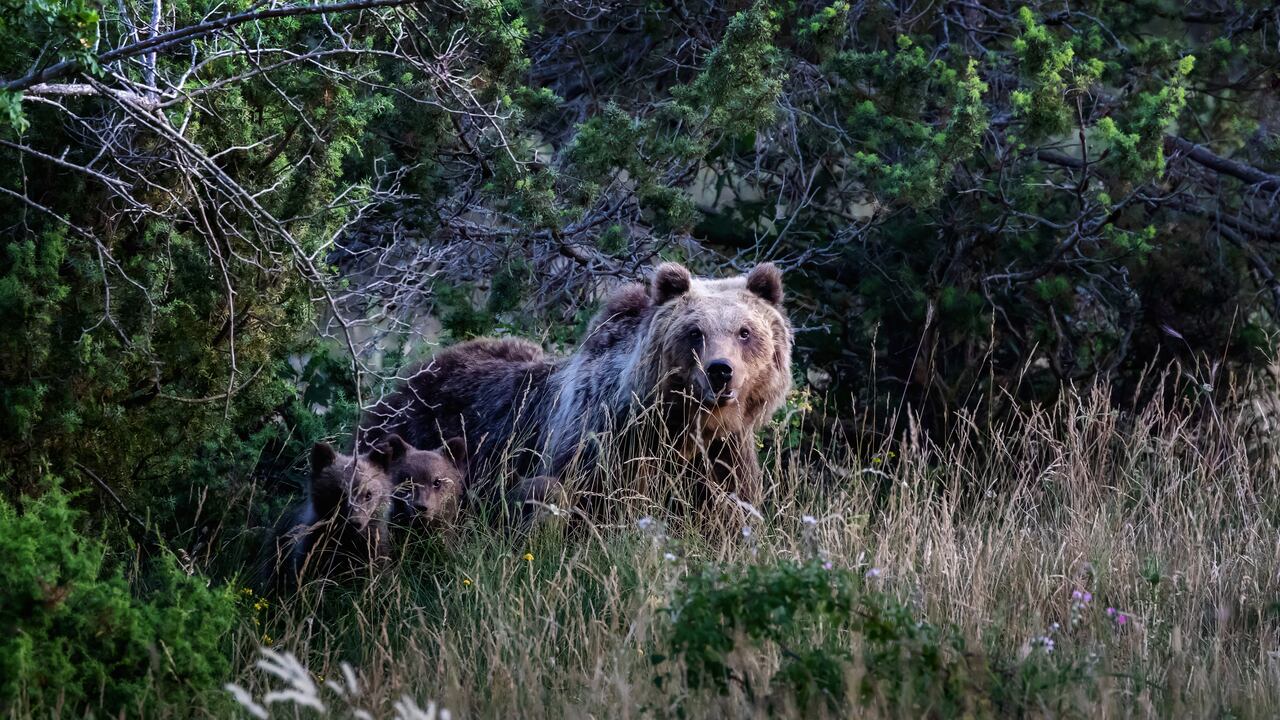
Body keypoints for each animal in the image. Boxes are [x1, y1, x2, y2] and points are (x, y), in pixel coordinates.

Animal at [360, 262, 792, 523]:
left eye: (745, 331)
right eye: (695, 332)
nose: (721, 371)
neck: (682, 424)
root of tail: (408, 378)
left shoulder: (723, 456)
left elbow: (727, 513)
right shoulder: (605, 446)